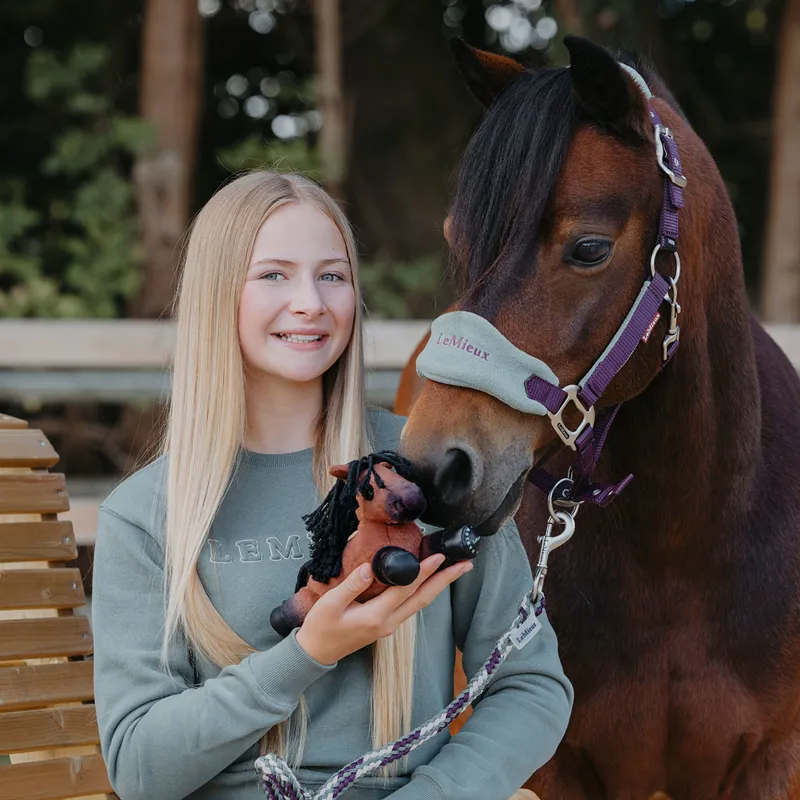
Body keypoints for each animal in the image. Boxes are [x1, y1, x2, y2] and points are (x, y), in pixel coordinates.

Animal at [396, 36, 800, 799]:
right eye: (458, 238)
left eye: (588, 248)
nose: (435, 466)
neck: (681, 549)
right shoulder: (556, 766)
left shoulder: (772, 762)